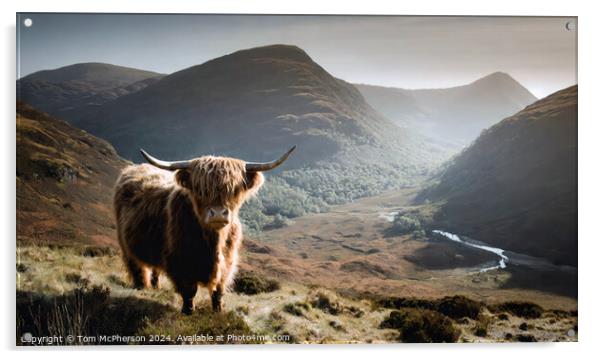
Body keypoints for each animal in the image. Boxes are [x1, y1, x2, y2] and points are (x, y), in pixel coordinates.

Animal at [111, 146, 294, 316]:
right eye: (201, 189)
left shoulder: (227, 264)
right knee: (137, 268)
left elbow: (218, 292)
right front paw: (188, 312)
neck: (213, 243)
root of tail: (134, 169)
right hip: (126, 245)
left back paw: (155, 287)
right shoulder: (180, 263)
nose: (218, 213)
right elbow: (189, 291)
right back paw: (141, 288)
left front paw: (218, 312)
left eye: (233, 189)